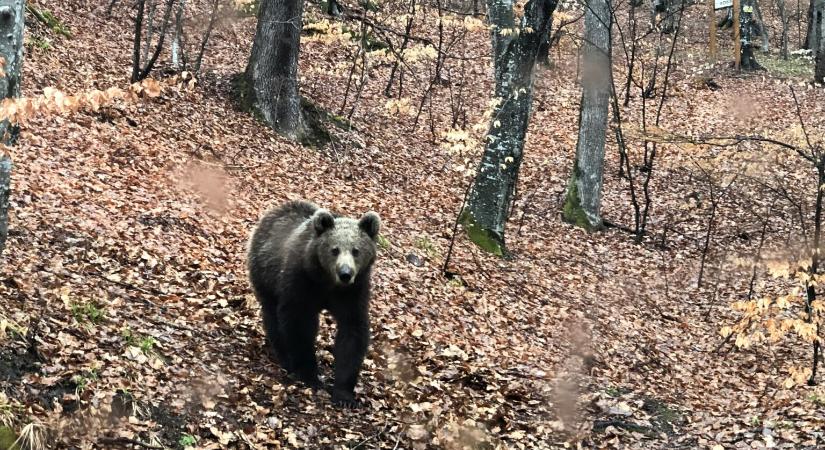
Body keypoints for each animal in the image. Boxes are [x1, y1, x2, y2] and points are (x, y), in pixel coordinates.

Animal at [246, 200, 382, 408]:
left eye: (356, 250)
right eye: (334, 249)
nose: (345, 273)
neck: (327, 282)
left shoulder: (353, 293)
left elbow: (352, 332)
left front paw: (344, 394)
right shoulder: (301, 283)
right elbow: (298, 324)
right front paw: (309, 375)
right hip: (265, 273)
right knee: (272, 315)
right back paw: (283, 355)